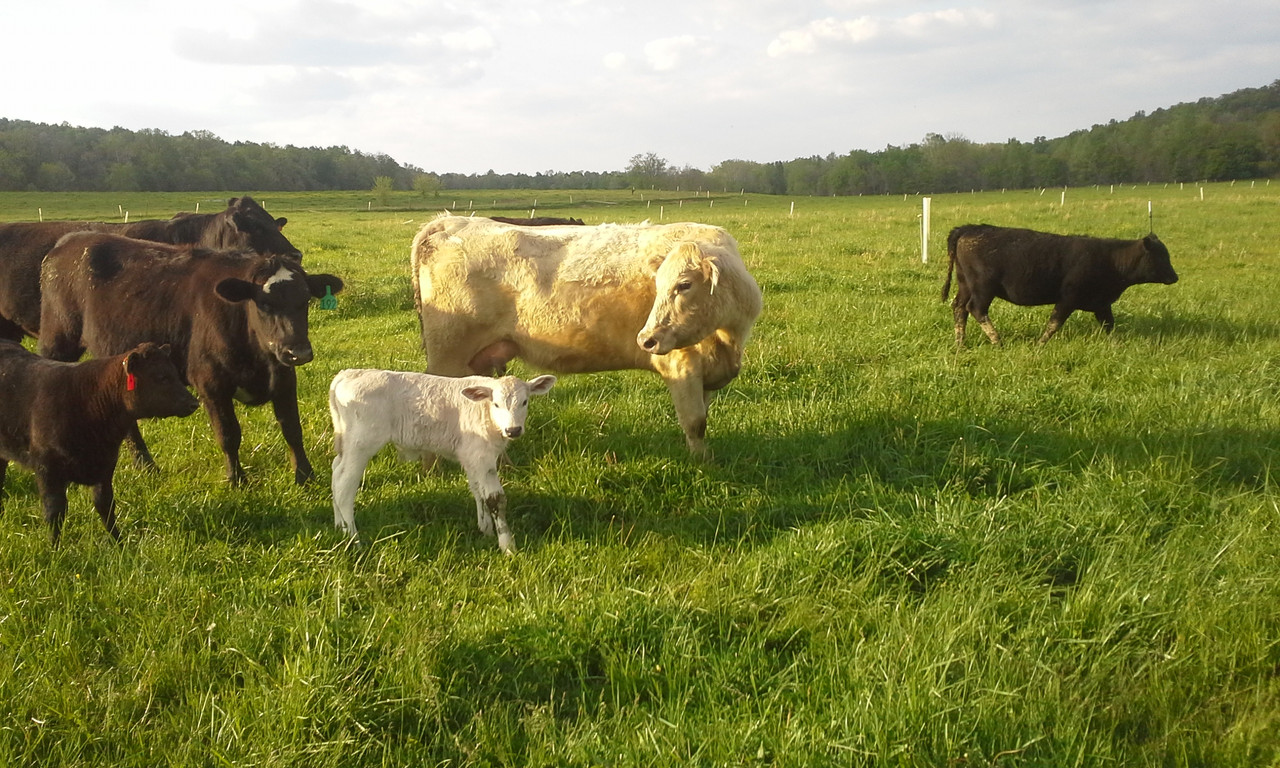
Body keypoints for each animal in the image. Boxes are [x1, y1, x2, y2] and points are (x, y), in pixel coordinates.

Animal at [0, 340, 198, 544]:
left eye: (174, 373)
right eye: (161, 377)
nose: (194, 402)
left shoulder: (106, 464)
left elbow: (105, 505)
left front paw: (119, 542)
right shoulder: (46, 467)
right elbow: (54, 511)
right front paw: (54, 547)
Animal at [37, 232, 343, 485]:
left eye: (305, 300)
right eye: (264, 303)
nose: (298, 352)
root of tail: (68, 241)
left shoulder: (283, 378)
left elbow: (292, 429)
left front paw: (305, 476)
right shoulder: (210, 384)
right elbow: (228, 434)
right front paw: (236, 480)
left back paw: (145, 464)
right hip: (57, 342)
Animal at [329, 369, 557, 553]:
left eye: (525, 401)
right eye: (496, 403)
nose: (513, 430)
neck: (486, 414)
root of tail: (348, 374)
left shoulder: (471, 456)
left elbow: (478, 491)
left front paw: (485, 530)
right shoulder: (482, 457)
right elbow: (495, 499)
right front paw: (508, 546)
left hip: (345, 445)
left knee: (335, 473)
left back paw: (339, 528)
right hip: (361, 444)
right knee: (344, 487)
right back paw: (354, 539)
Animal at [410, 214, 762, 456]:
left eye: (684, 284)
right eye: (659, 284)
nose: (646, 340)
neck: (728, 338)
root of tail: (449, 221)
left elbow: (703, 419)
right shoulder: (682, 365)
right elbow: (695, 422)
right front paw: (701, 465)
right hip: (447, 357)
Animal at [942, 224, 1178, 347]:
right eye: (1161, 256)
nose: (1175, 277)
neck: (1110, 259)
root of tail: (969, 229)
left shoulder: (1102, 303)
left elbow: (1109, 325)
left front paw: (1115, 344)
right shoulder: (1068, 298)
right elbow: (1054, 323)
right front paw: (1040, 344)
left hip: (965, 285)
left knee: (959, 308)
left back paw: (960, 342)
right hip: (983, 287)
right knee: (976, 309)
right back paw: (997, 341)